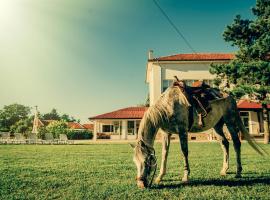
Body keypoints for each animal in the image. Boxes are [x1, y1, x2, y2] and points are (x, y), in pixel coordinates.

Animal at [131, 84, 264, 189]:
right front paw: (160, 177)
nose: (141, 184)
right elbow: (164, 153)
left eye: (147, 161)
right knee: (225, 143)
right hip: (217, 126)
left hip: (230, 121)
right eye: (135, 162)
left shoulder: (182, 131)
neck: (168, 105)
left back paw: (238, 171)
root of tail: (230, 96)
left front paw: (185, 176)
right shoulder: (166, 134)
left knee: (236, 143)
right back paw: (224, 170)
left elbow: (184, 152)